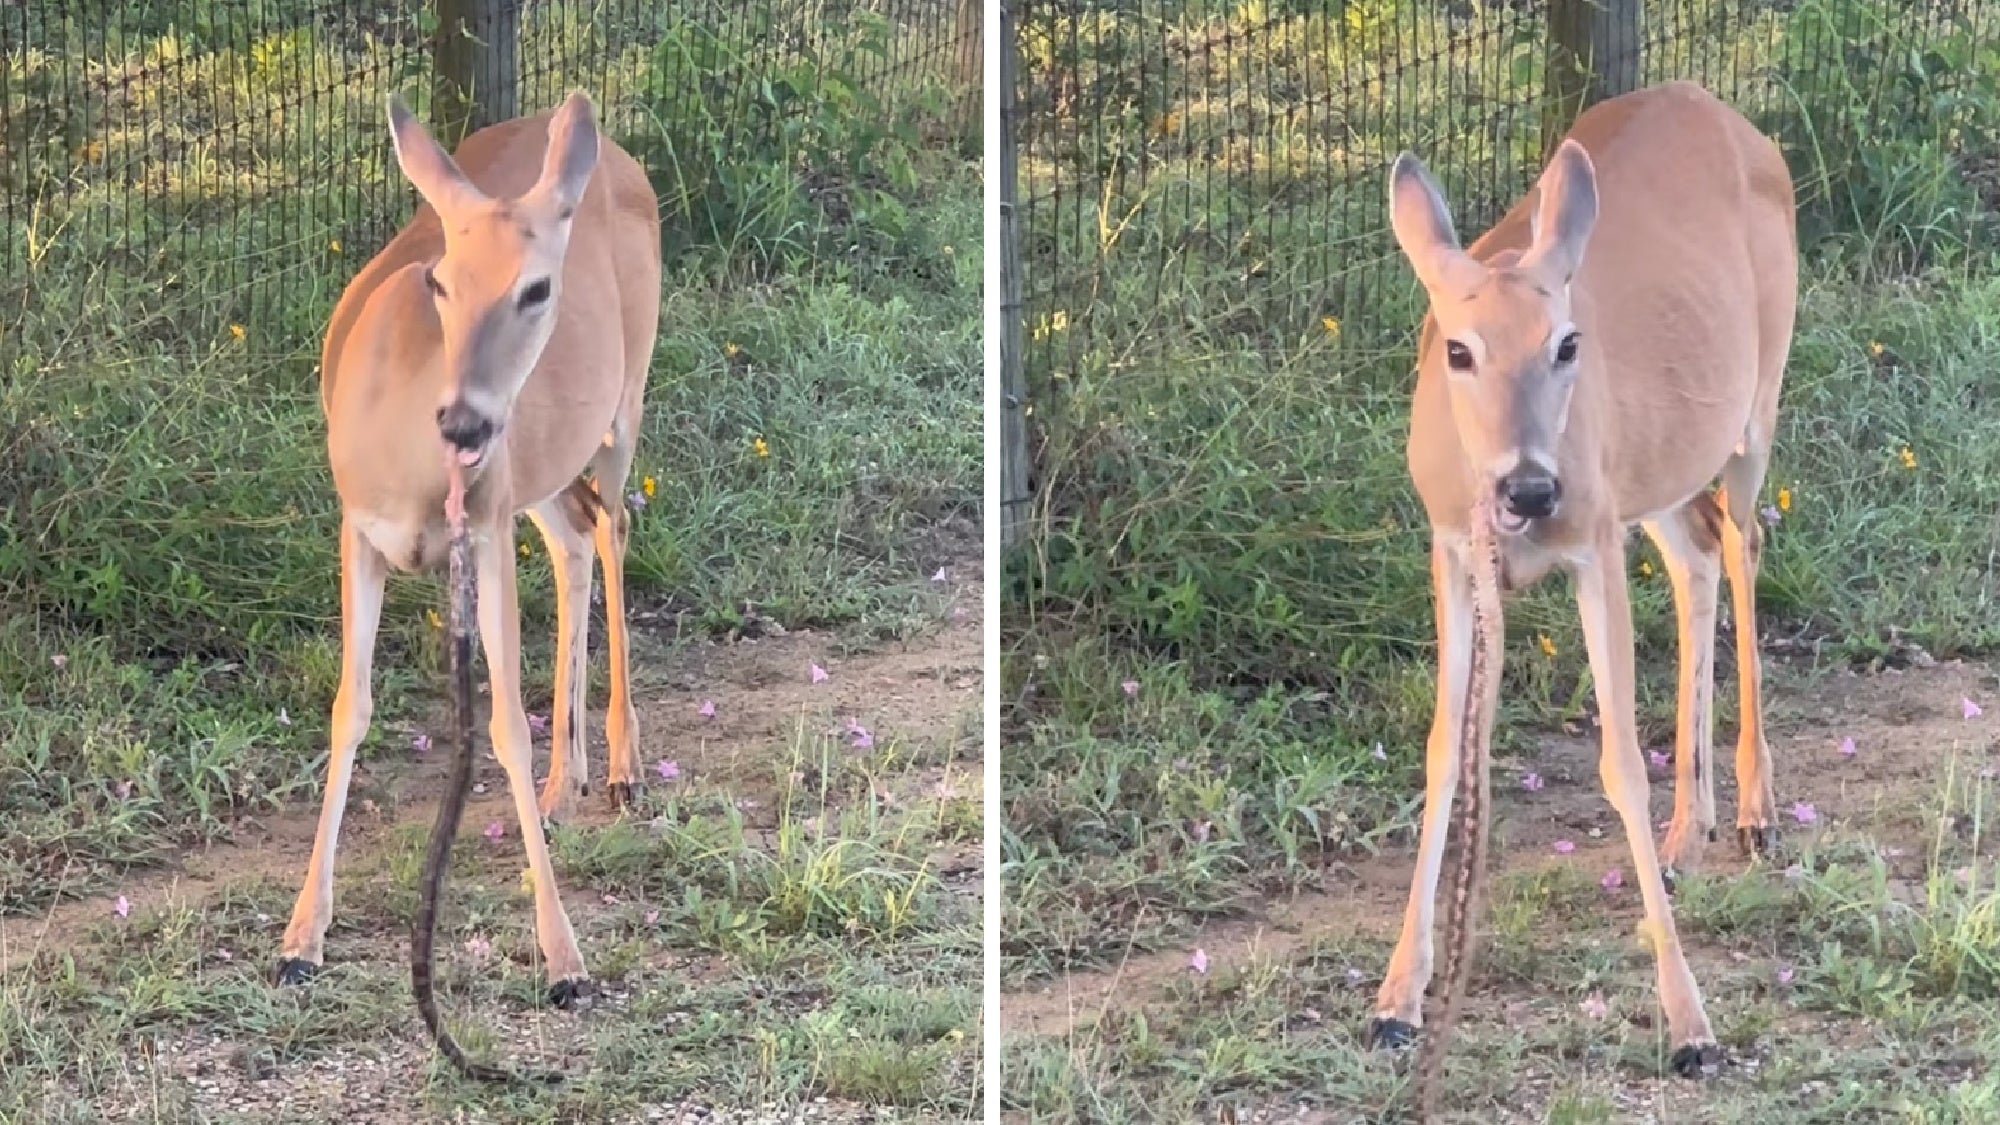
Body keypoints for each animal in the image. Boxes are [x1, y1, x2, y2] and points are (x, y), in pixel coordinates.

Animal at [276, 92, 664, 1020]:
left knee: (613, 525)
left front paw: (565, 958)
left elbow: (504, 725)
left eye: (538, 287)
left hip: (623, 398)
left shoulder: (481, 530)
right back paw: (566, 786)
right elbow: (350, 706)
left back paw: (622, 767)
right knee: (576, 533)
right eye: (442, 281)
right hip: (536, 467)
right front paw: (301, 937)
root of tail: (612, 155)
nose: (463, 421)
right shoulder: (358, 527)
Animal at [1360, 81, 1800, 1088]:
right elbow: (1445, 752)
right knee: (1698, 551)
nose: (1530, 488)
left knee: (1746, 538)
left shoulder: (1594, 541)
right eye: (1457, 349)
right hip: (1658, 467)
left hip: (1754, 400)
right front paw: (1397, 998)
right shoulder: (1454, 549)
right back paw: (1686, 835)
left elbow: (1620, 763)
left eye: (1566, 344)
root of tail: (1729, 115)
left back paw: (1754, 812)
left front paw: (1691, 1024)